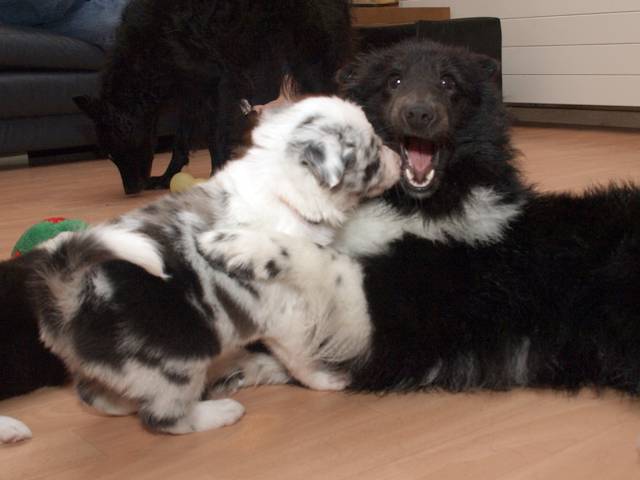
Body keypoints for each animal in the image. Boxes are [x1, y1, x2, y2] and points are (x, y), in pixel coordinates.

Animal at [0, 97, 399, 441]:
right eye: (374, 154)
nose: (398, 157)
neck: (282, 190)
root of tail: (66, 293)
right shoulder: (286, 315)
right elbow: (300, 357)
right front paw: (324, 380)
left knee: (91, 394)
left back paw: (123, 402)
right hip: (175, 364)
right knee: (162, 418)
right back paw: (218, 413)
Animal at [74, 0, 353, 194]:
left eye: (115, 152)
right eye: (108, 156)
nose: (131, 191)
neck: (149, 47)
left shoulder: (221, 84)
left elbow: (215, 136)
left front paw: (218, 174)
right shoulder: (190, 92)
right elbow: (180, 142)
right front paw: (166, 178)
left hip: (308, 65)